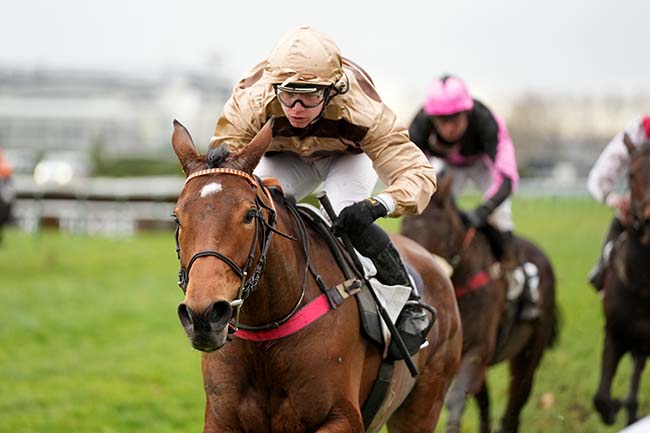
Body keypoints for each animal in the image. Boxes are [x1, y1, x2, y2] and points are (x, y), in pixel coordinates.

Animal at [168, 119, 460, 432]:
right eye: (177, 217)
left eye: (249, 215)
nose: (204, 315)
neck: (267, 330)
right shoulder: (221, 419)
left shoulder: (344, 417)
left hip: (424, 403)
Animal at [400, 175, 556, 432]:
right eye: (405, 226)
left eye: (441, 230)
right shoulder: (464, 353)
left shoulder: (478, 348)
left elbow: (456, 397)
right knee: (486, 403)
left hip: (530, 352)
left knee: (515, 405)